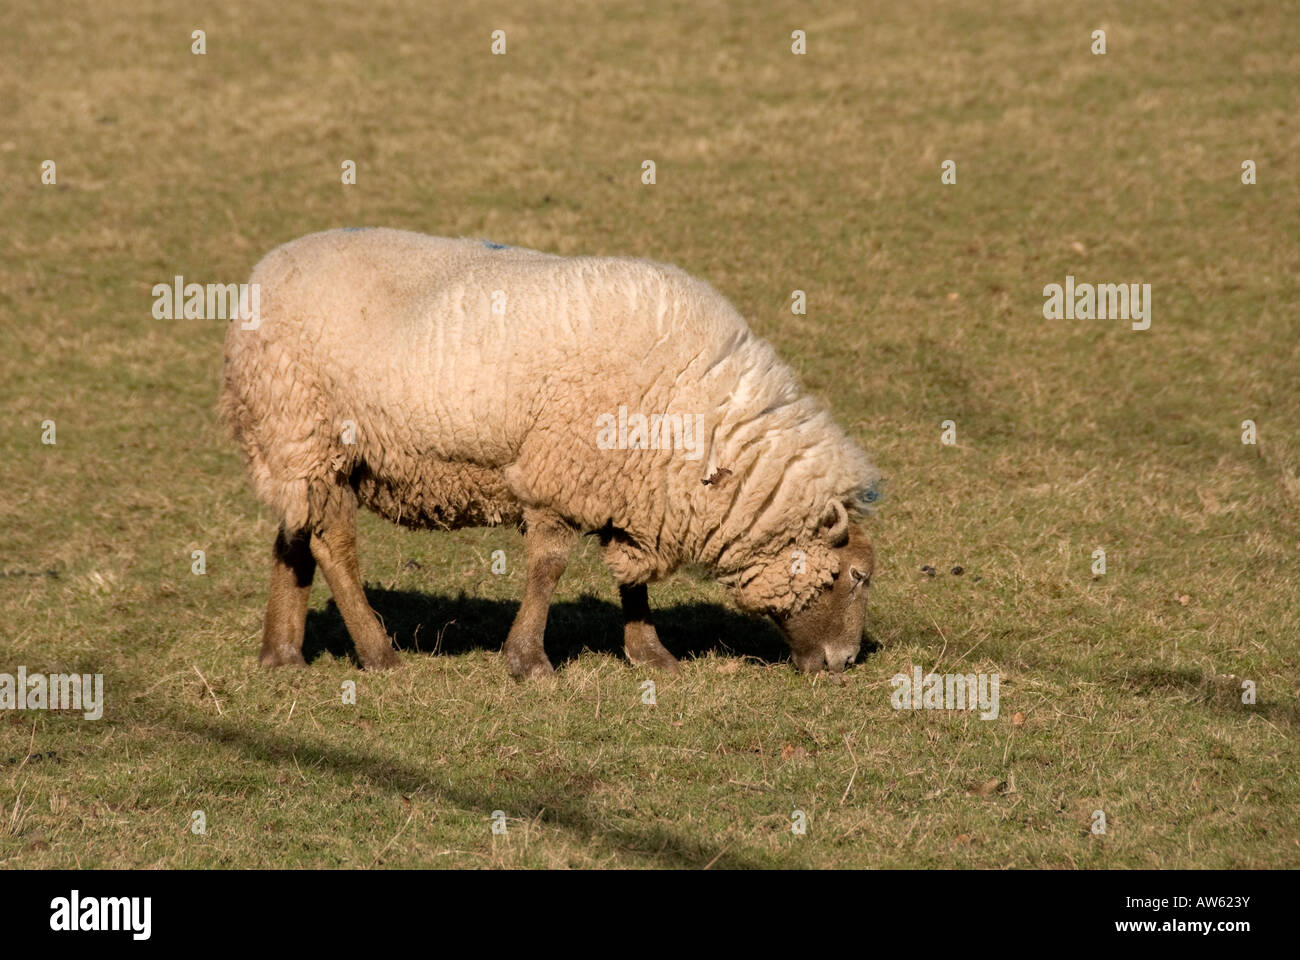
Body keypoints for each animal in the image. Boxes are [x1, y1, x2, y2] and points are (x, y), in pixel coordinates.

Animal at [220, 228, 880, 676]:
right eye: (858, 576)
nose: (844, 661)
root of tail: (263, 273)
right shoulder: (563, 469)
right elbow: (550, 566)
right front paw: (528, 661)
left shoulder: (627, 484)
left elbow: (628, 573)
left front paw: (648, 653)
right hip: (307, 426)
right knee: (332, 544)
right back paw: (378, 652)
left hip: (295, 445)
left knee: (295, 534)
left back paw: (281, 652)